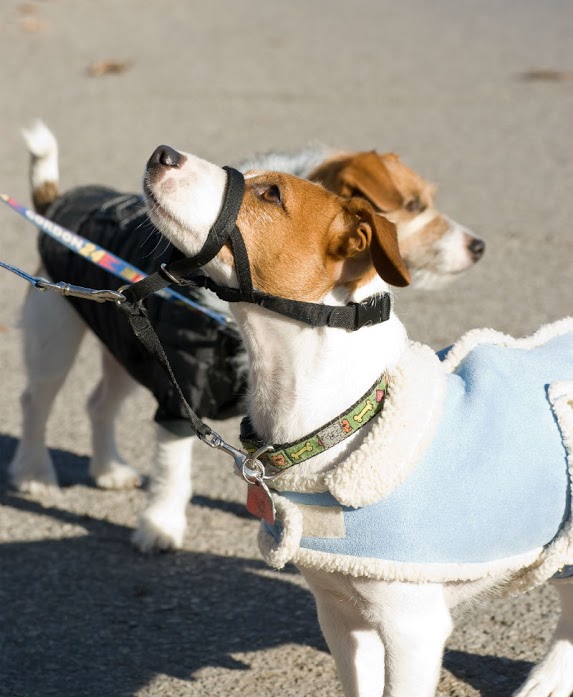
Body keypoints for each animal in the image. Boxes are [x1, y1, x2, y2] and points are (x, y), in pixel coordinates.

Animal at [8, 123, 482, 556]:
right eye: (414, 205)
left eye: (270, 193)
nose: (162, 153)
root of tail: (55, 202)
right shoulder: (182, 395)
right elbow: (173, 470)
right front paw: (161, 526)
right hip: (55, 334)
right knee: (36, 401)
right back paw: (34, 473)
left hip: (128, 338)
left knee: (99, 404)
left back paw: (108, 469)